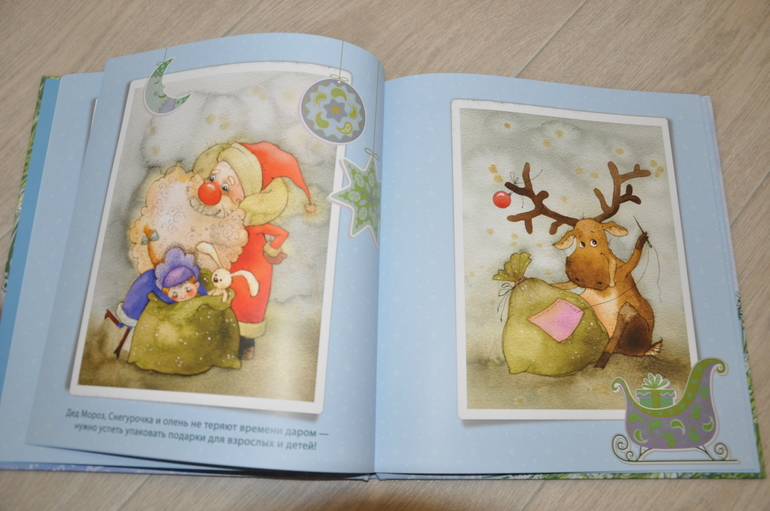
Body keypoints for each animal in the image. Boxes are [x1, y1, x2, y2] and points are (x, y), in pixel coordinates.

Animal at [504, 161, 661, 369]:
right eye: (580, 243)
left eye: (597, 240)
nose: (588, 278)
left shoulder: (622, 272)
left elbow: (633, 259)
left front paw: (642, 240)